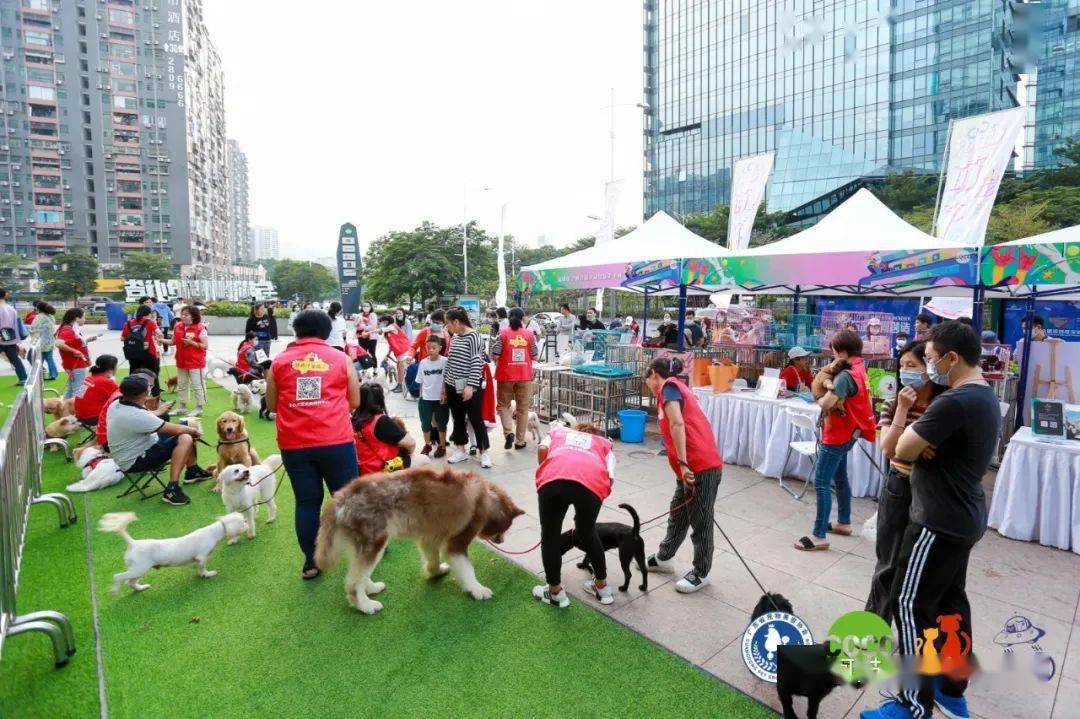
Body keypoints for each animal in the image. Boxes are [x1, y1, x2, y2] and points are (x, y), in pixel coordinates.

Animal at [99, 509, 247, 591]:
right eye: (244, 522)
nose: (248, 525)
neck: (214, 531)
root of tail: (133, 543)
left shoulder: (198, 559)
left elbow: (199, 567)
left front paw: (201, 574)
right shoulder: (202, 556)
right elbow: (203, 567)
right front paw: (208, 574)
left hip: (139, 570)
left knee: (130, 582)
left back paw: (141, 588)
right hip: (139, 568)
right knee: (118, 577)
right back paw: (114, 591)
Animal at [315, 468, 524, 613]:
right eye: (505, 529)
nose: (502, 541)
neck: (487, 498)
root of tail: (341, 497)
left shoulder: (430, 537)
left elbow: (433, 559)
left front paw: (435, 572)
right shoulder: (457, 543)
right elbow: (467, 570)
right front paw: (477, 590)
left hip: (363, 546)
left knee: (356, 574)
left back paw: (371, 588)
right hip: (375, 542)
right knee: (353, 583)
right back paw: (365, 605)